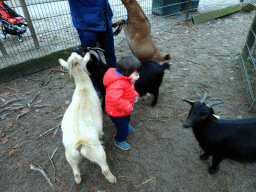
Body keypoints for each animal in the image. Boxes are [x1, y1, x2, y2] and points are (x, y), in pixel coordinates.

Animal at [58, 51, 116, 184]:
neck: (83, 88)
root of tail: (79, 145)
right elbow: (100, 131)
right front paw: (102, 135)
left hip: (69, 155)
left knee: (75, 171)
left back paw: (78, 180)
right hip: (97, 152)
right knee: (104, 169)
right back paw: (112, 179)